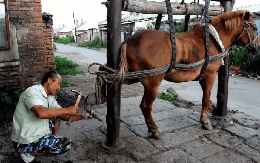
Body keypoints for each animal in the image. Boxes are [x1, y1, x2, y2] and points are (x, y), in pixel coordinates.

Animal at [100, 9, 258, 139]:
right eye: (255, 28)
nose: (257, 48)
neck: (213, 39)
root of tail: (129, 40)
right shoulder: (210, 75)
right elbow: (205, 98)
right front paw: (205, 121)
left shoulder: (202, 76)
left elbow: (207, 97)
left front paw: (212, 108)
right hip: (153, 83)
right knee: (145, 106)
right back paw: (154, 130)